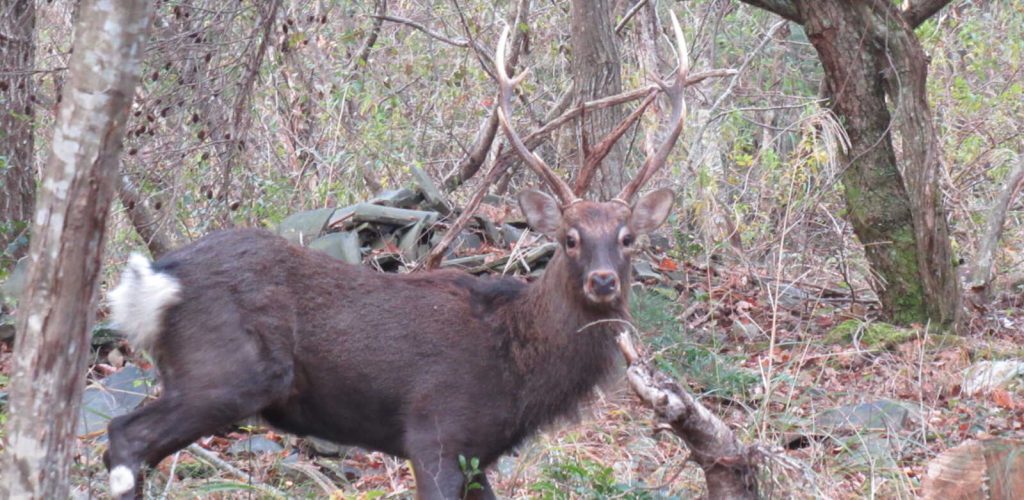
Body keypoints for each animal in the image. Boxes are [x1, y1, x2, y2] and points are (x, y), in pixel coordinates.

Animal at [104, 14, 691, 500]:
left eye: (627, 238)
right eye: (570, 237)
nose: (602, 281)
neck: (517, 368)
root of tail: (153, 281)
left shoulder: (478, 454)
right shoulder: (436, 432)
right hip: (225, 372)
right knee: (123, 437)